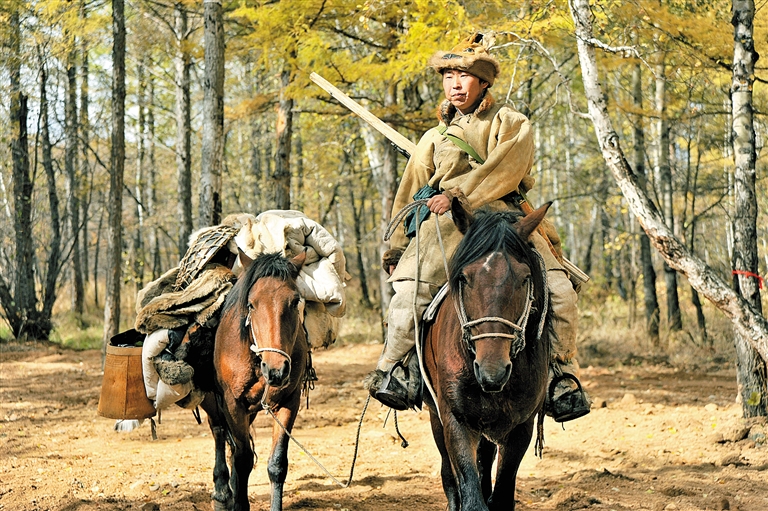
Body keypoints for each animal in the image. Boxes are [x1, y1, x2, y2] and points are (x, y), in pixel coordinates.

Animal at [201, 251, 308, 511]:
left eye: (295, 301)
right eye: (251, 304)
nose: (276, 370)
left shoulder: (289, 401)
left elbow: (277, 463)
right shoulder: (232, 404)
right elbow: (243, 459)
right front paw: (238, 502)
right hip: (212, 402)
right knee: (219, 433)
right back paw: (222, 493)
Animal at [420, 201, 552, 511]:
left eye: (525, 278)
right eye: (464, 278)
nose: (493, 371)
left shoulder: (521, 426)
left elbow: (500, 494)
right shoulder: (455, 419)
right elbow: (470, 496)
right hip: (435, 414)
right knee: (449, 473)